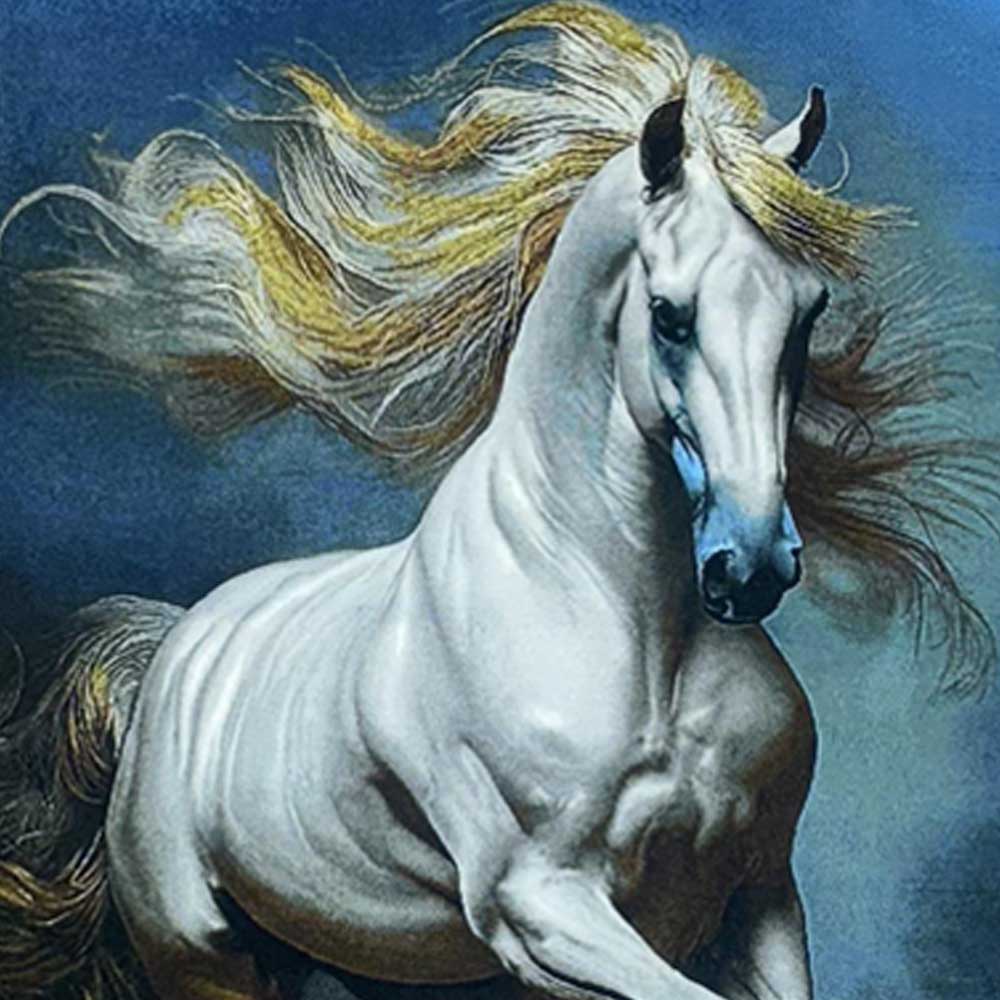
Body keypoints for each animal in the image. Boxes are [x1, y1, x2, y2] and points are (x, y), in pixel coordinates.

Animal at [0, 5, 995, 1000]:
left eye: (808, 309)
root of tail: (170, 652)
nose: (750, 566)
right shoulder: (543, 909)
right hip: (203, 960)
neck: (626, 625)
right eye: (670, 315)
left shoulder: (761, 897)